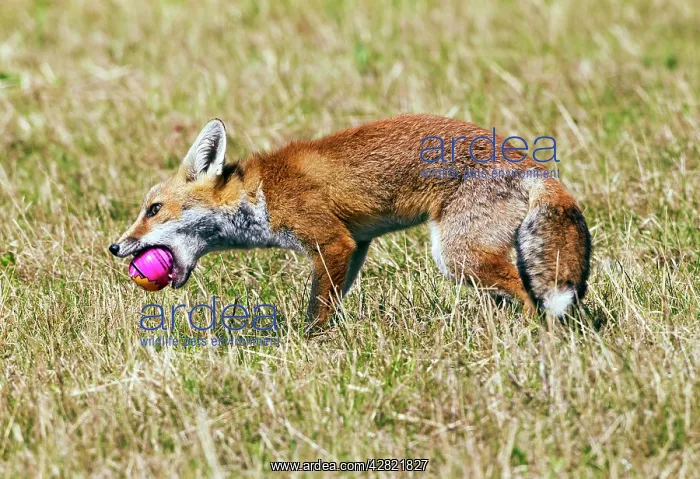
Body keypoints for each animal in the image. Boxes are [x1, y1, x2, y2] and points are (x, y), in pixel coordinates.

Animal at [109, 114, 591, 328]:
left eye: (153, 210)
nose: (115, 247)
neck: (260, 194)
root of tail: (530, 162)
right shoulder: (354, 244)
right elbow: (335, 299)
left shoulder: (330, 241)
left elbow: (317, 310)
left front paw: (310, 343)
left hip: (457, 253)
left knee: (525, 293)